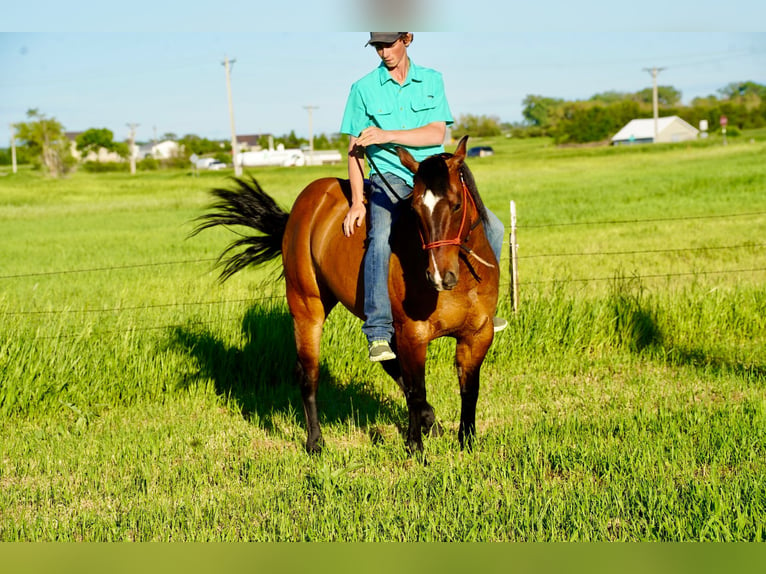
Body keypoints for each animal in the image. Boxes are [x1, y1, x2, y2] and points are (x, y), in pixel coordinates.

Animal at [195, 135, 500, 454]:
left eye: (456, 205)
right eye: (416, 210)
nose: (440, 276)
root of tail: (307, 203)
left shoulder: (478, 334)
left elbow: (469, 388)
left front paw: (467, 441)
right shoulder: (413, 335)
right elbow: (417, 389)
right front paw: (415, 447)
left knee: (388, 364)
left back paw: (432, 423)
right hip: (307, 307)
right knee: (309, 373)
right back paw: (315, 441)